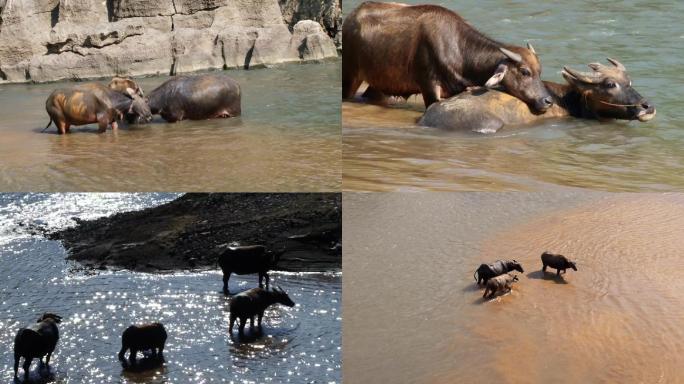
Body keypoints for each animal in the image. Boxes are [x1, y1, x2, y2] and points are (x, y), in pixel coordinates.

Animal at [340, 1, 552, 110]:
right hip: (350, 74)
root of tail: (350, 18)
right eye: (525, 72)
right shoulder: (429, 87)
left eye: (540, 71)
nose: (547, 101)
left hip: (380, 83)